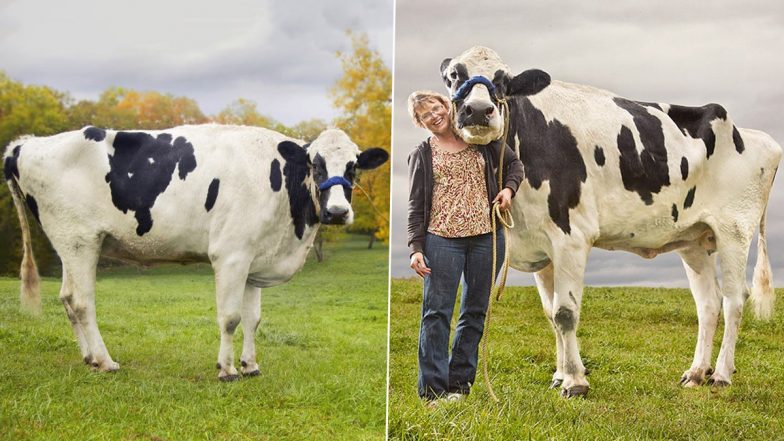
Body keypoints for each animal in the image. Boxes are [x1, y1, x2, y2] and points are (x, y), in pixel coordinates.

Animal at [3, 123, 388, 378]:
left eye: (354, 166)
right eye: (315, 163)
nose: (337, 212)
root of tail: (26, 144)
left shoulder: (253, 258)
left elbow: (253, 319)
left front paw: (251, 366)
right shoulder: (231, 255)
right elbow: (230, 317)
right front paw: (227, 369)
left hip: (71, 244)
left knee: (67, 298)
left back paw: (88, 358)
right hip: (80, 240)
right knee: (83, 302)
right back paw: (106, 361)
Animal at [438, 46, 780, 398]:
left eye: (503, 79)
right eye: (452, 76)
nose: (479, 111)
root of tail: (754, 135)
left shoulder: (571, 236)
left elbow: (565, 313)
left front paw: (575, 381)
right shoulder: (540, 243)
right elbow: (550, 313)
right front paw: (559, 376)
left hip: (734, 230)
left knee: (734, 299)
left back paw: (722, 374)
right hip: (694, 240)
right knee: (708, 303)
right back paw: (696, 373)